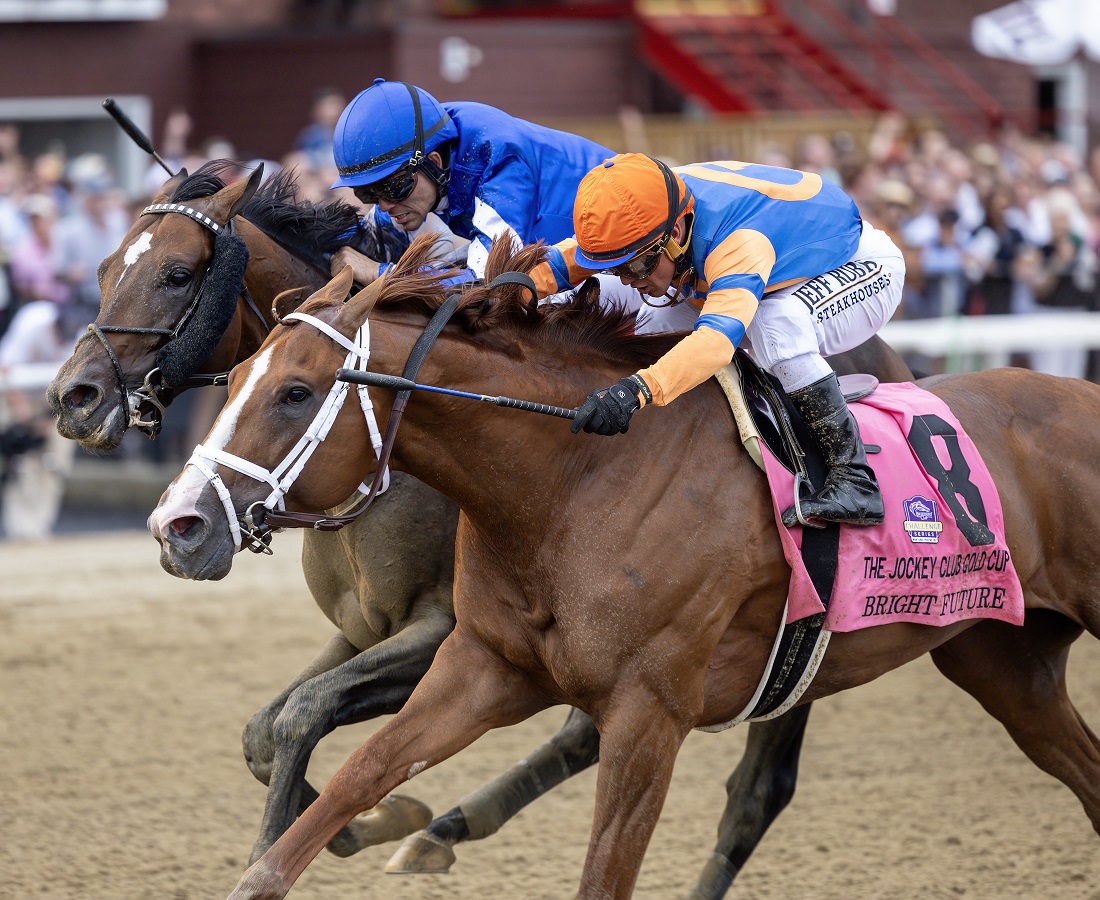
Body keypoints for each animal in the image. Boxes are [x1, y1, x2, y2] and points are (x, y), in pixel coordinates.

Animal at [45, 162, 919, 888]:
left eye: (177, 273)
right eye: (103, 269)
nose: (73, 397)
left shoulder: (439, 628)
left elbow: (302, 715)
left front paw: (368, 820)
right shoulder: (368, 629)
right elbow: (273, 725)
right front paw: (350, 819)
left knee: (740, 783)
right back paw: (446, 827)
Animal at [152, 239, 1100, 897]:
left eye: (297, 393)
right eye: (238, 374)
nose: (176, 525)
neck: (574, 482)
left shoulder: (649, 713)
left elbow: (605, 868)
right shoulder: (481, 668)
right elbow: (346, 781)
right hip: (1002, 661)